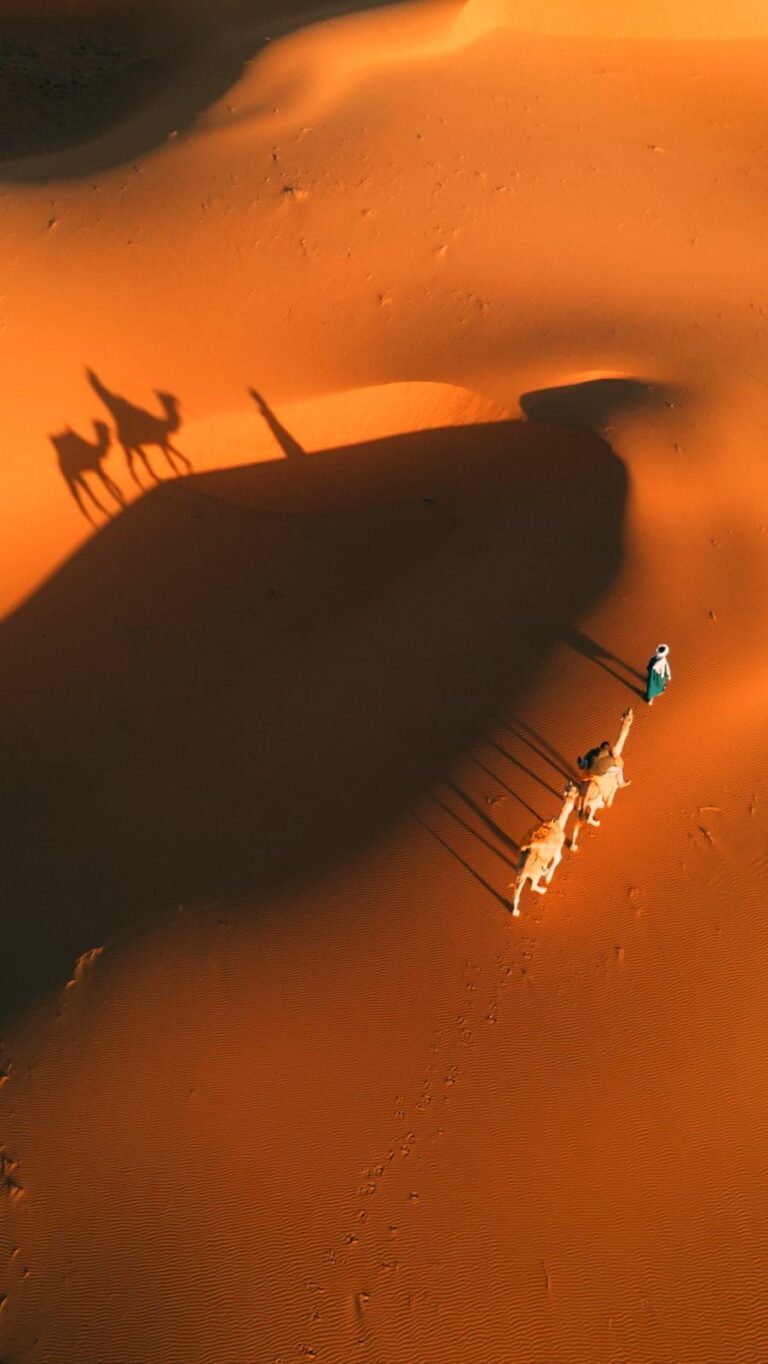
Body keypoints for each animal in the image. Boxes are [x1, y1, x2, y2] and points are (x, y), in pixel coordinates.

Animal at [508, 781, 579, 916]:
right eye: (575, 792)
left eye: (570, 788)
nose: (575, 786)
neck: (558, 823)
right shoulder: (557, 850)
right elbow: (558, 859)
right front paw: (548, 878)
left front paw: (546, 872)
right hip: (532, 873)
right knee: (533, 886)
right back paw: (543, 890)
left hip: (520, 874)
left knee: (516, 893)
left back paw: (515, 912)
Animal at [571, 707, 633, 850]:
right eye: (629, 718)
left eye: (627, 714)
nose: (630, 709)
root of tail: (584, 794)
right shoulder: (614, 782)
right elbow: (614, 792)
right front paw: (625, 784)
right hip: (594, 802)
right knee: (588, 818)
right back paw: (596, 823)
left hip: (579, 805)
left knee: (576, 826)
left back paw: (573, 847)